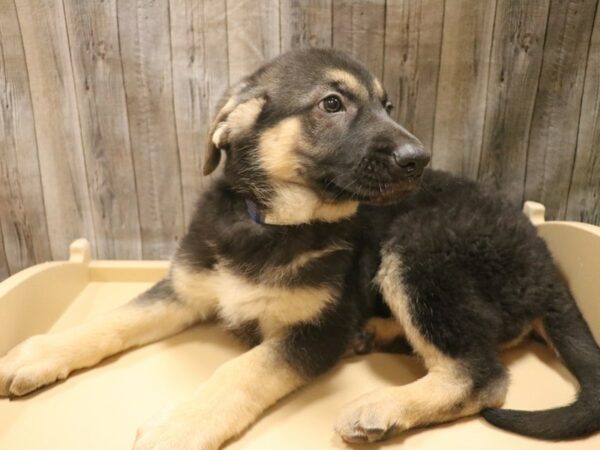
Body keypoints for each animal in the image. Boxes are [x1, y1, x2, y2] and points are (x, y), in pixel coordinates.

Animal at [1, 47, 600, 448]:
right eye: (332, 104)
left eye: (386, 104)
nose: (419, 158)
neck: (274, 223)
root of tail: (549, 266)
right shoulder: (185, 287)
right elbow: (116, 319)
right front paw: (37, 354)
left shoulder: (315, 330)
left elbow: (243, 370)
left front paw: (180, 425)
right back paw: (375, 335)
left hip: (419, 249)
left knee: (482, 375)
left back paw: (382, 405)